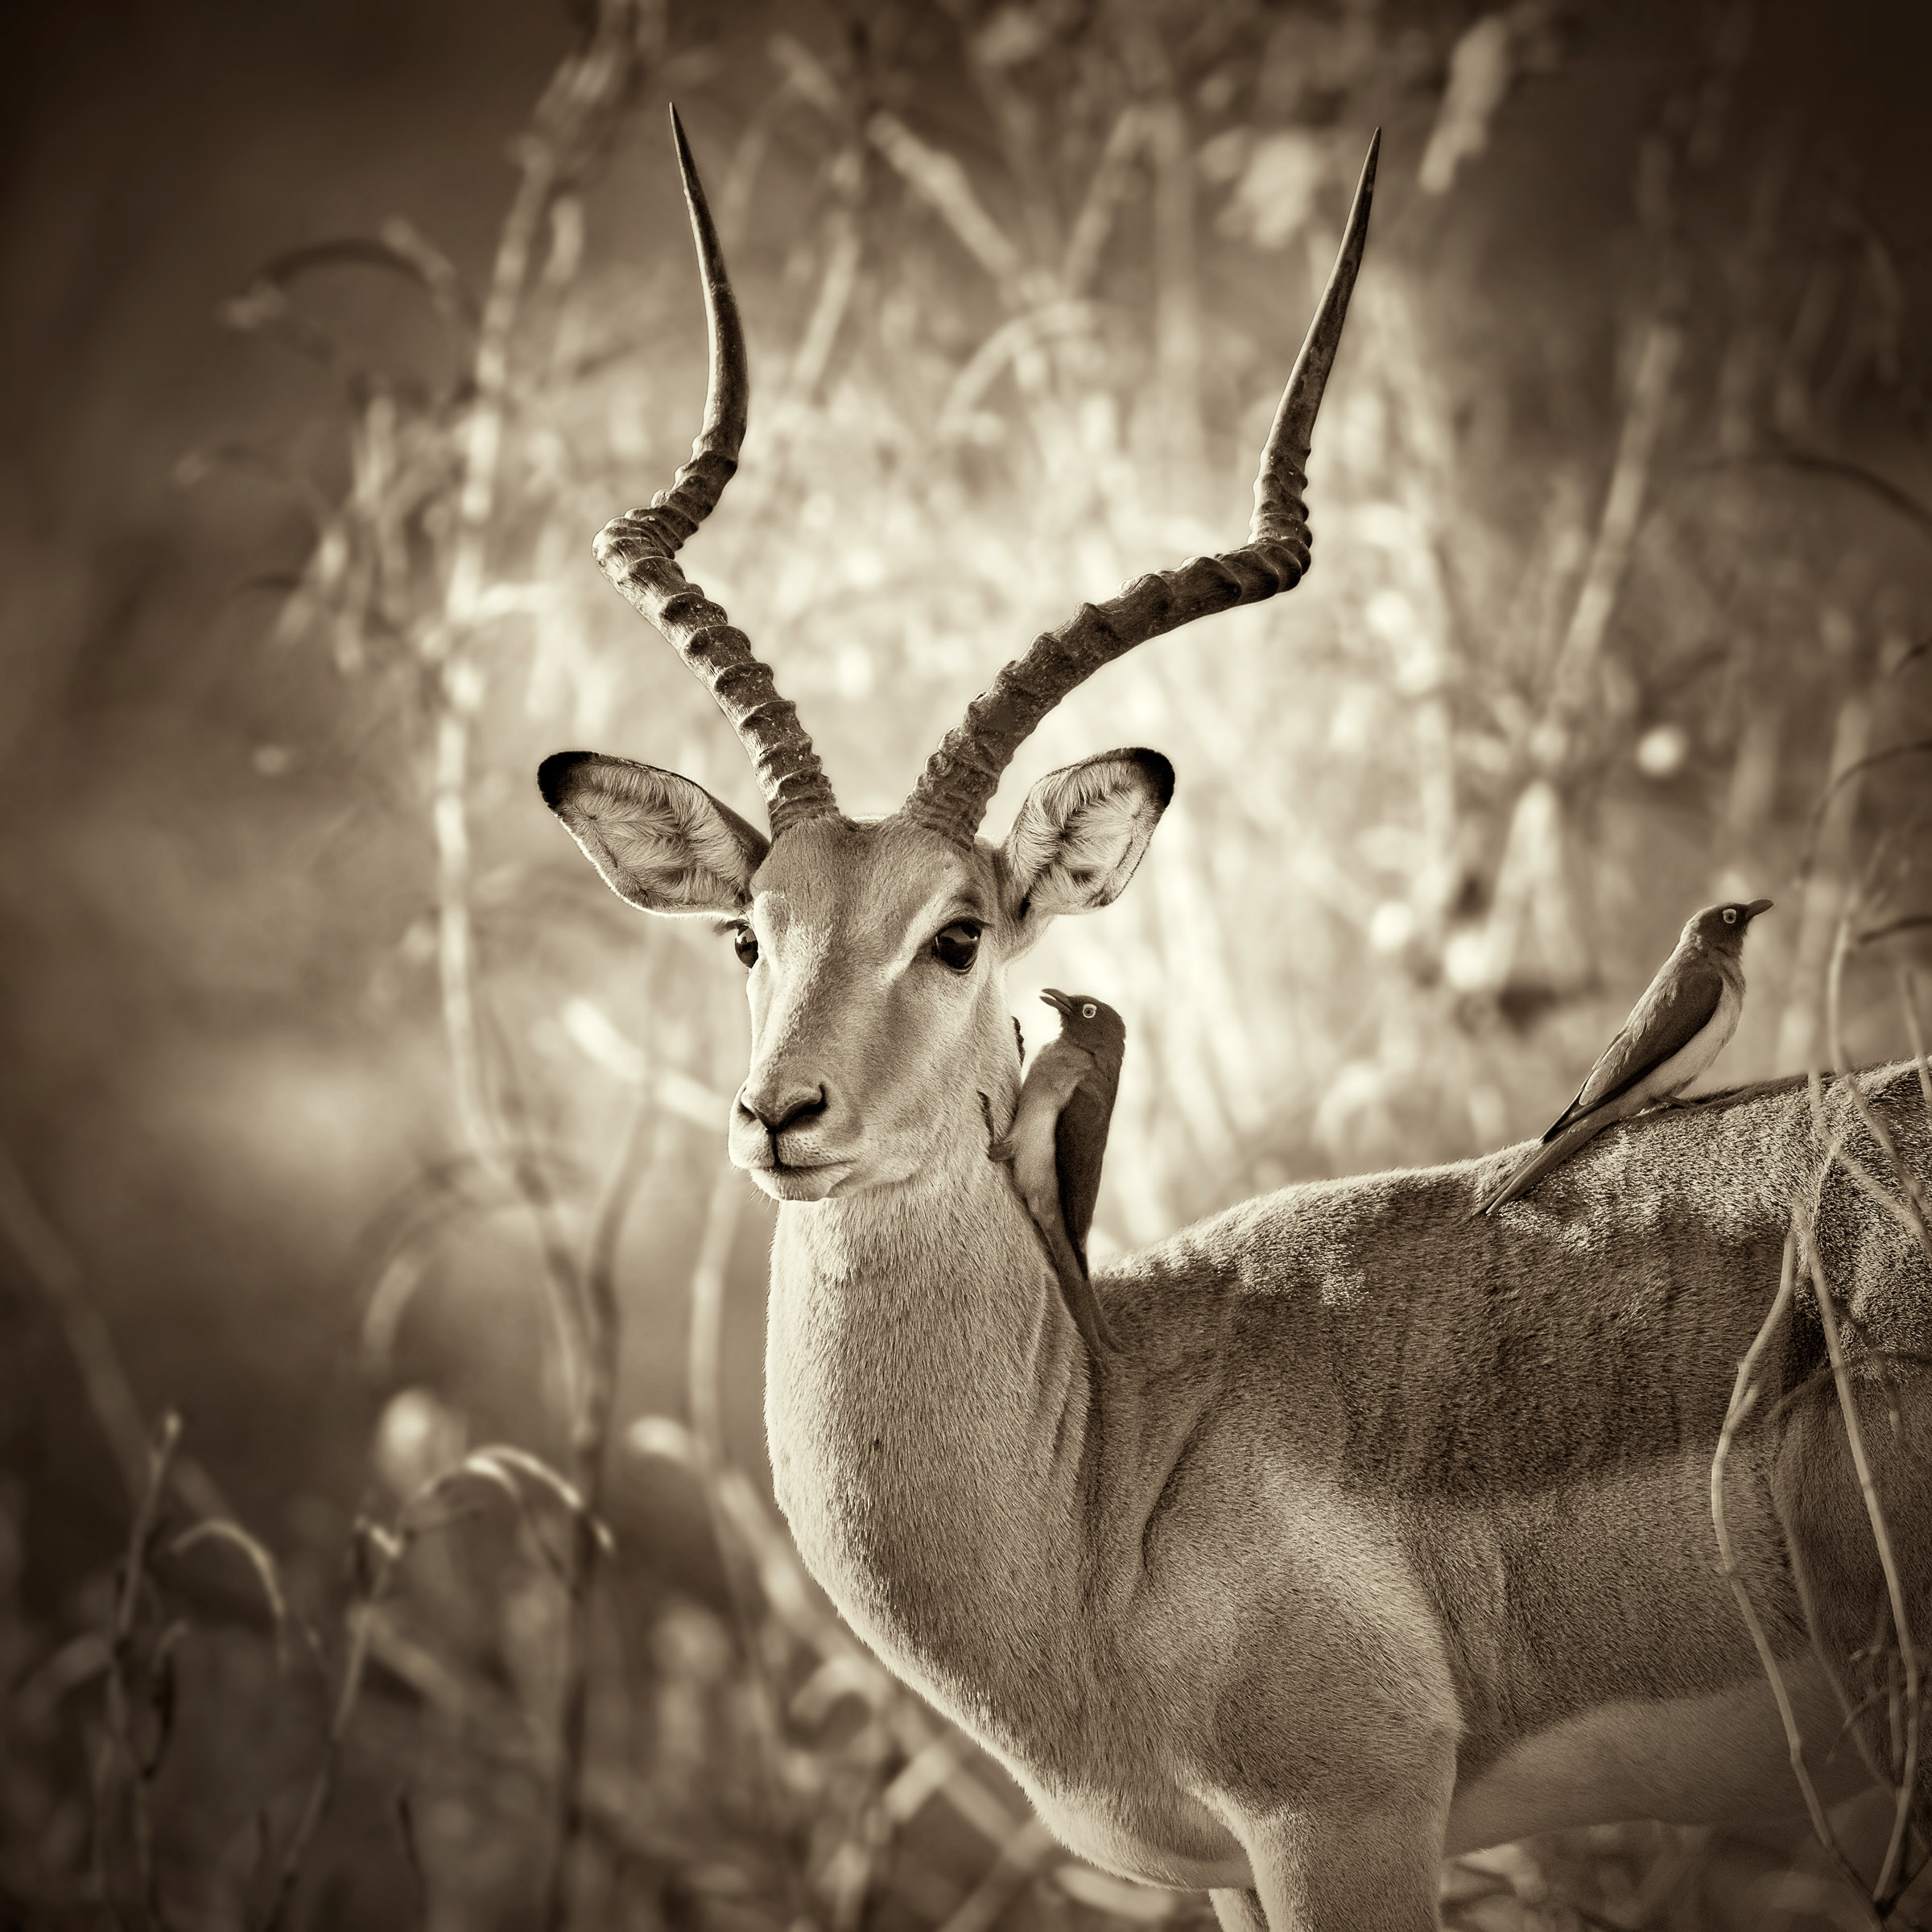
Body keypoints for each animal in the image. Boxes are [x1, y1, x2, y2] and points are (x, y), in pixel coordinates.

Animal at [541, 113, 1932, 1931]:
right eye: (745, 935)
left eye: (959, 935)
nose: (783, 1118)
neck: (1102, 1475)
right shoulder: (1224, 1873)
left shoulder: (1342, 1820)